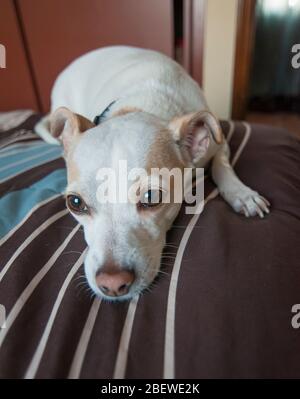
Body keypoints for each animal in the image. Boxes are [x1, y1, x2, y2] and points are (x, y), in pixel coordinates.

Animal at [36, 46, 270, 300]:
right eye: (75, 203)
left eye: (152, 197)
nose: (112, 284)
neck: (143, 106)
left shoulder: (219, 144)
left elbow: (222, 167)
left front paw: (242, 195)